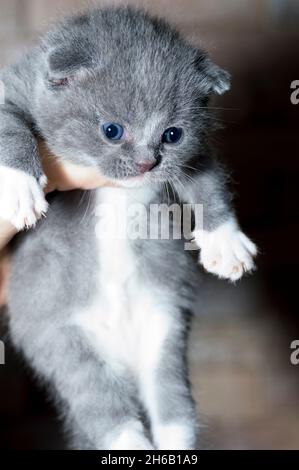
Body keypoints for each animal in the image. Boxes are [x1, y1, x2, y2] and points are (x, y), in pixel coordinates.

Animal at [0, 6, 258, 448]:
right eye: (112, 130)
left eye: (172, 134)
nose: (145, 164)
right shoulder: (11, 85)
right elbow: (9, 122)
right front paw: (18, 184)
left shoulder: (195, 155)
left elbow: (207, 183)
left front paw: (225, 242)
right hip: (60, 339)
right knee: (98, 399)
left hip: (164, 327)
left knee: (169, 396)